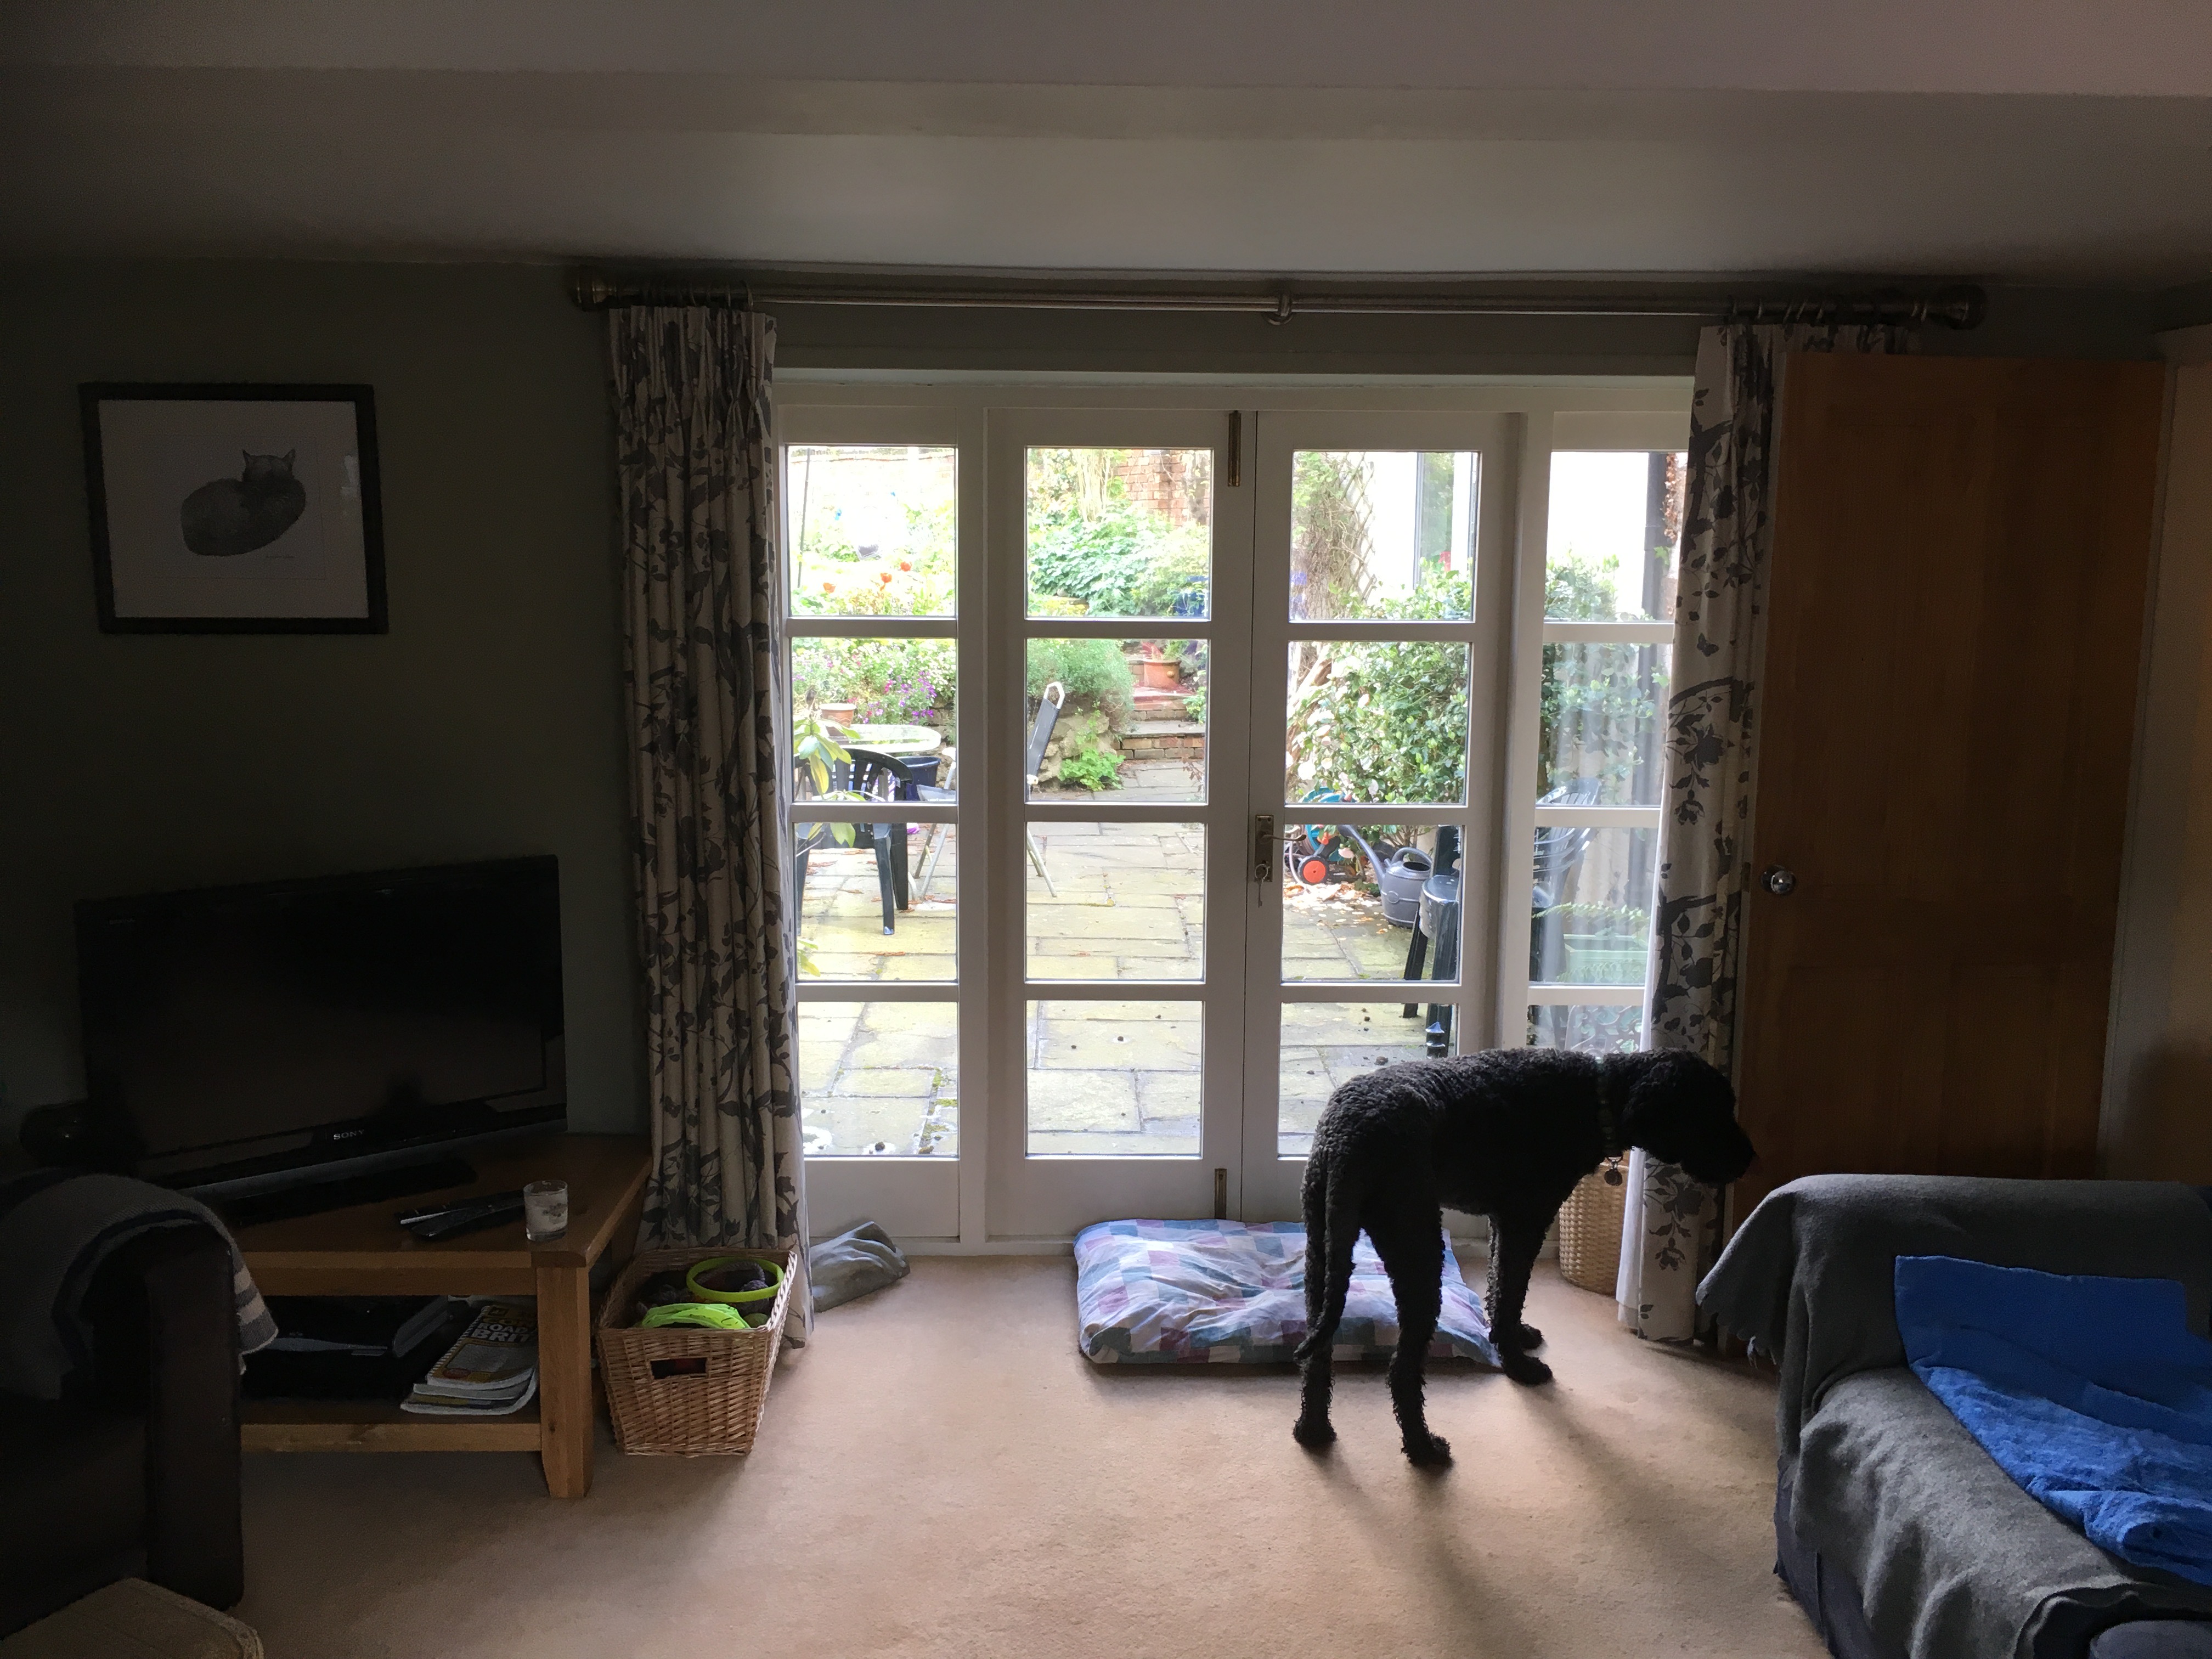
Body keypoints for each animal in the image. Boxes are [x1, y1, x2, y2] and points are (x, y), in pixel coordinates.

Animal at [1292, 1047, 1754, 1467]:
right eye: (1712, 1111)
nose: (1751, 1159)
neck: (1596, 1097)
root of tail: (1347, 1136)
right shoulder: (1527, 1220)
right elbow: (1513, 1291)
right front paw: (1519, 1365)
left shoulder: (1505, 1221)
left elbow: (1501, 1288)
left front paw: (1513, 1337)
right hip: (1417, 1247)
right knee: (1402, 1369)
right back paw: (1423, 1448)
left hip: (1323, 1248)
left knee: (1318, 1350)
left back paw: (1314, 1429)